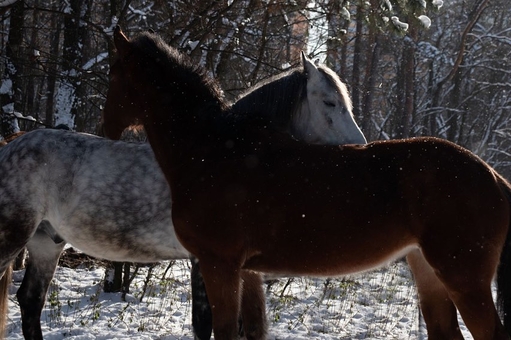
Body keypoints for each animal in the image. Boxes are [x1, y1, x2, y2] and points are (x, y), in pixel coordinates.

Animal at [101, 27, 511, 340]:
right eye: (329, 102)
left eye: (113, 73)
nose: (106, 127)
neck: (214, 149)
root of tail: (493, 176)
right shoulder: (246, 272)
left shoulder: (219, 266)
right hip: (428, 272)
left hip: (465, 280)